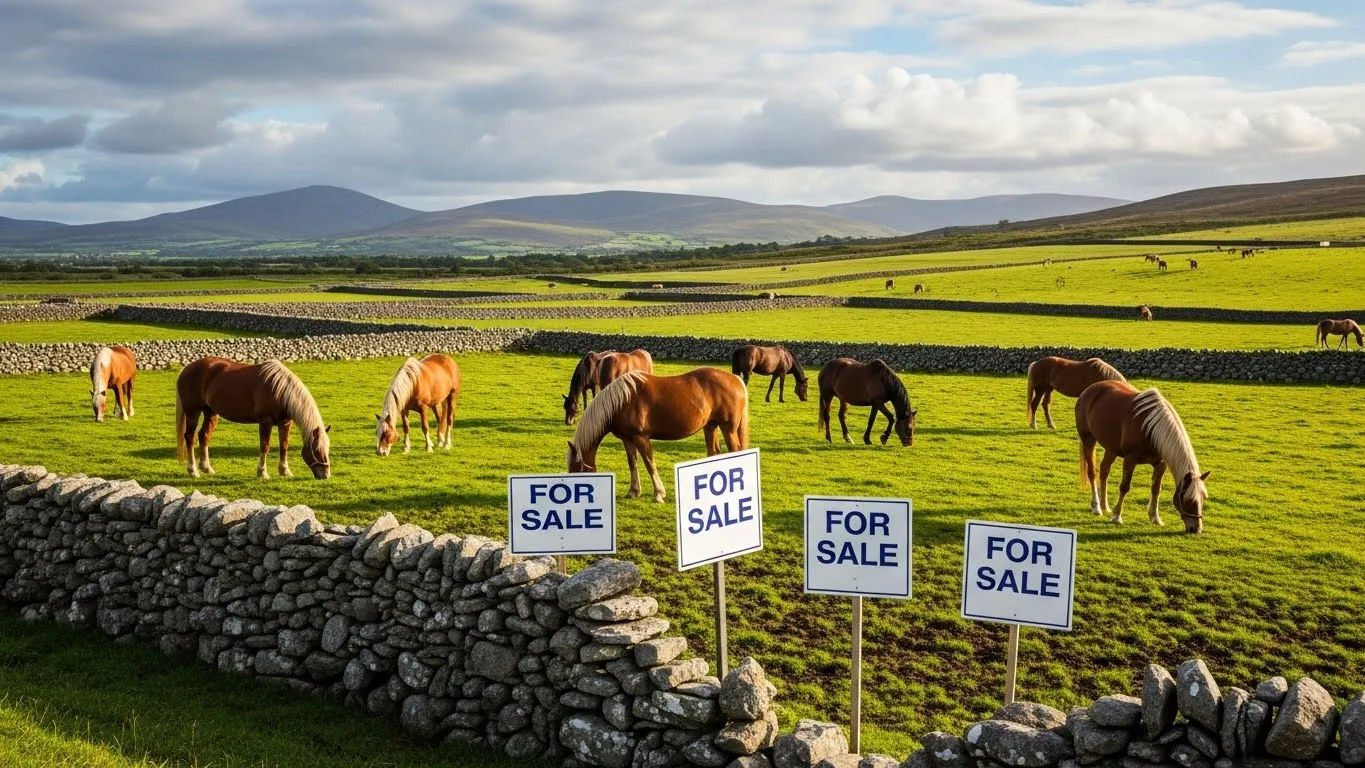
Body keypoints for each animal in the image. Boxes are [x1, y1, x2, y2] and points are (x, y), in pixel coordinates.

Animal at [175, 357, 332, 480]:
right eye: (316, 450)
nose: (325, 475)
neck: (280, 390)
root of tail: (186, 369)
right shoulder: (265, 422)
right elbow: (265, 446)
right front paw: (262, 473)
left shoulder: (285, 423)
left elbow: (284, 446)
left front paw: (285, 471)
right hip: (192, 412)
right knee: (189, 437)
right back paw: (193, 471)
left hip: (211, 413)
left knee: (204, 435)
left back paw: (207, 468)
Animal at [566, 369, 748, 502]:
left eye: (576, 470)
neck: (623, 401)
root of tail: (735, 379)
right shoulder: (627, 439)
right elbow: (632, 463)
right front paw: (634, 491)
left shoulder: (641, 438)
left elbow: (649, 464)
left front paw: (659, 493)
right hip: (710, 427)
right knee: (714, 453)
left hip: (728, 429)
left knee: (735, 452)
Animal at [1076, 380, 1210, 533]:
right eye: (1189, 500)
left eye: (1204, 498)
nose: (1196, 529)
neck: (1151, 428)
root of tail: (1090, 389)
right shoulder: (1130, 459)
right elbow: (1124, 487)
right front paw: (1117, 516)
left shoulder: (1161, 463)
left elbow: (1156, 489)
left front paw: (1155, 517)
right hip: (1088, 440)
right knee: (1092, 473)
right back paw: (1097, 507)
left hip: (1111, 449)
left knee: (1104, 471)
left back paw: (1105, 506)